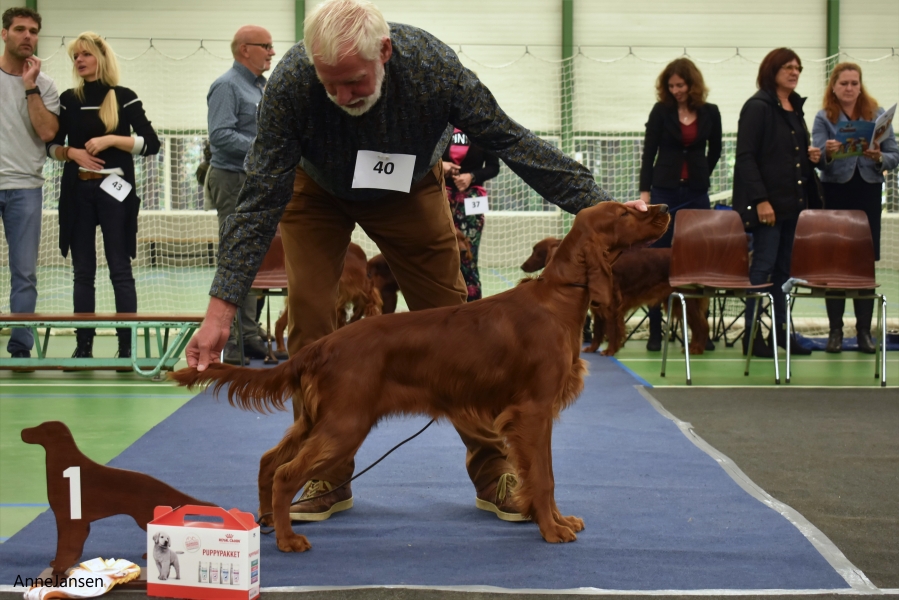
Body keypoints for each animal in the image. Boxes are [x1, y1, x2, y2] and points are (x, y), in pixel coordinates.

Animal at [21, 421, 213, 574]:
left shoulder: (68, 518)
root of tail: (160, 484)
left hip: (144, 517)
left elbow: (66, 545)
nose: (22, 431)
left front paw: (60, 566)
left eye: (40, 428)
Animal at [171, 202, 670, 553]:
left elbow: (540, 476)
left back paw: (267, 526)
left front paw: (558, 520)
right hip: (345, 423)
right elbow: (544, 476)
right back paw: (290, 538)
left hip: (318, 418)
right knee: (285, 472)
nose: (663, 208)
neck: (558, 298)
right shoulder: (533, 412)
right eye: (625, 213)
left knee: (268, 461)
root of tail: (323, 345)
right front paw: (552, 529)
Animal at [521, 240, 709, 356]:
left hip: (686, 299)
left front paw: (610, 351)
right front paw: (593, 348)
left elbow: (612, 329)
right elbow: (598, 330)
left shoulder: (610, 305)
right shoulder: (597, 306)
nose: (522, 266)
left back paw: (696, 349)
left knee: (701, 325)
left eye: (535, 251)